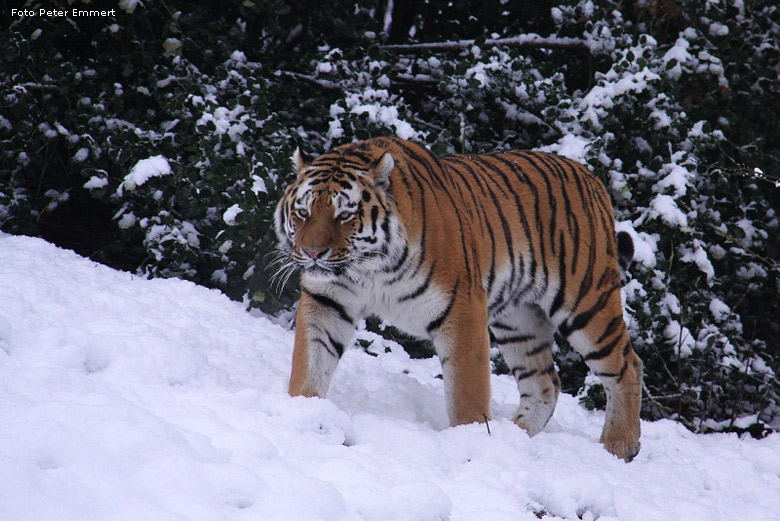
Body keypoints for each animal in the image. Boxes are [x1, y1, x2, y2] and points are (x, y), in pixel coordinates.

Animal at [278, 136, 644, 462]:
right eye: (302, 212)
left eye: (345, 215)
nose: (312, 253)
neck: (369, 269)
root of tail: (591, 177)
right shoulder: (327, 301)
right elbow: (310, 362)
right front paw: (306, 413)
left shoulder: (461, 307)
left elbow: (468, 389)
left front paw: (473, 444)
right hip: (518, 321)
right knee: (545, 383)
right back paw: (515, 438)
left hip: (586, 302)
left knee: (627, 365)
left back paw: (619, 446)